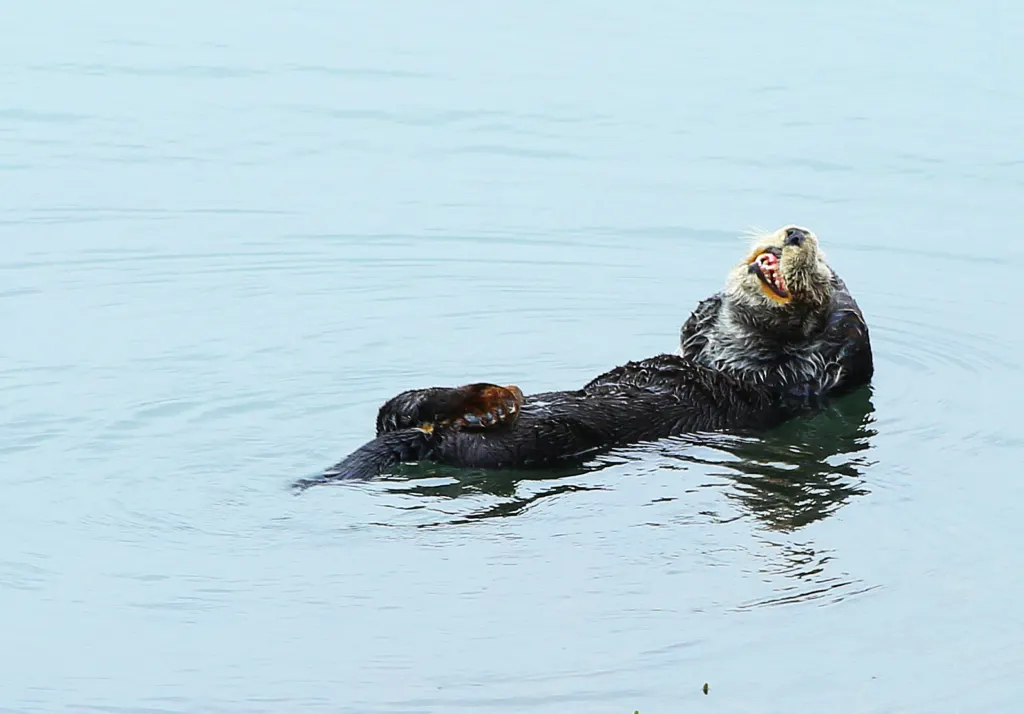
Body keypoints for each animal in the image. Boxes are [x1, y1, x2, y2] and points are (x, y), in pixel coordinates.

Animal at [308, 225, 872, 485]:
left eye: (819, 265)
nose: (796, 233)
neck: (729, 356)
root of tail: (432, 436)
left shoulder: (793, 385)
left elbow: (839, 352)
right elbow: (692, 329)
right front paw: (713, 301)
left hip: (534, 441)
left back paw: (493, 403)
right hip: (425, 411)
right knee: (400, 406)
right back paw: (488, 397)